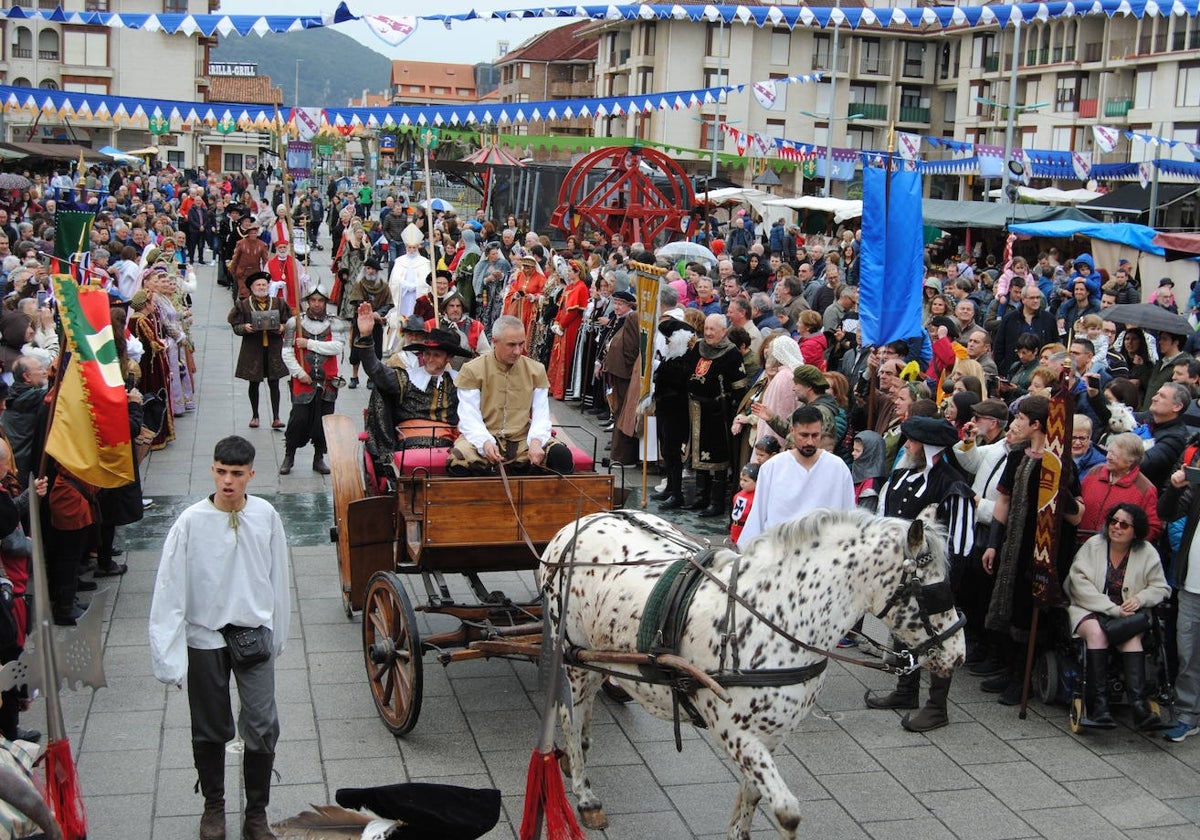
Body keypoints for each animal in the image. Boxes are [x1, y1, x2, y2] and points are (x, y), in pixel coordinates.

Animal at [542, 506, 964, 840]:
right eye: (933, 592)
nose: (959, 656)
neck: (775, 614)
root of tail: (571, 528)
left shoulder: (771, 736)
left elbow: (753, 794)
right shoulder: (738, 734)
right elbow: (788, 814)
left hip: (596, 656)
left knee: (588, 702)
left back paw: (578, 755)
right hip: (571, 656)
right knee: (568, 715)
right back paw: (584, 793)